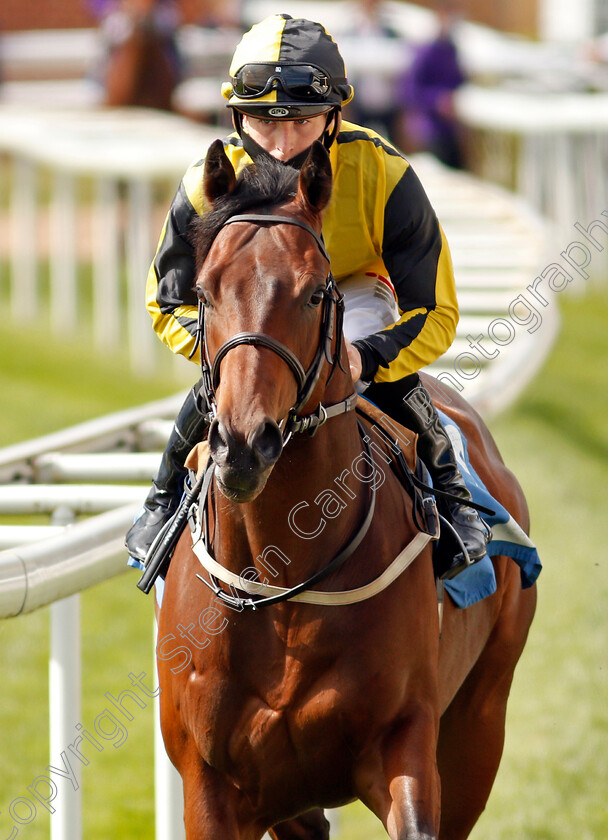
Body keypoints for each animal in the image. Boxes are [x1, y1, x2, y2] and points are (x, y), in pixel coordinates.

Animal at [156, 141, 536, 836]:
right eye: (201, 292)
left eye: (313, 294)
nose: (245, 444)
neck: (284, 573)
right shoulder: (215, 783)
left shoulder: (404, 741)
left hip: (480, 718)